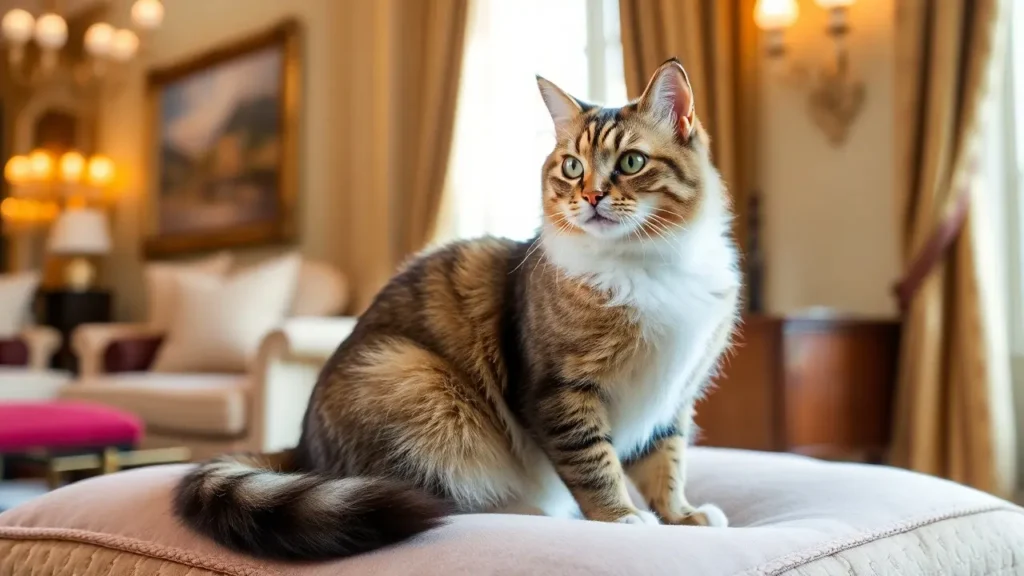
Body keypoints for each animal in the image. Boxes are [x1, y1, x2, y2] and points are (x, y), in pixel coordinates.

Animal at [174, 60, 737, 557]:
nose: (592, 197)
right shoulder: (559, 391)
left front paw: (681, 515)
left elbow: (666, 464)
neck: (645, 262)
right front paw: (620, 517)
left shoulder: (673, 396)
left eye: (631, 162)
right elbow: (595, 464)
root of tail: (299, 453)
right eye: (572, 166)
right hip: (414, 381)